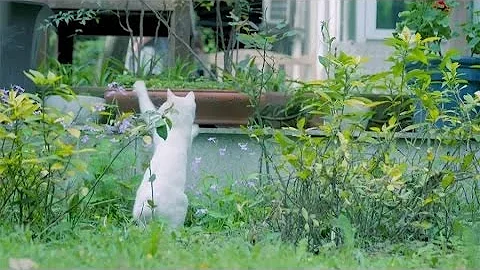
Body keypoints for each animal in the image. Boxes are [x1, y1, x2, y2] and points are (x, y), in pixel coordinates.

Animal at [132, 80, 198, 228]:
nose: (161, 109)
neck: (175, 128)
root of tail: (150, 208)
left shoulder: (157, 127)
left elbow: (147, 108)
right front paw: (196, 128)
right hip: (181, 208)